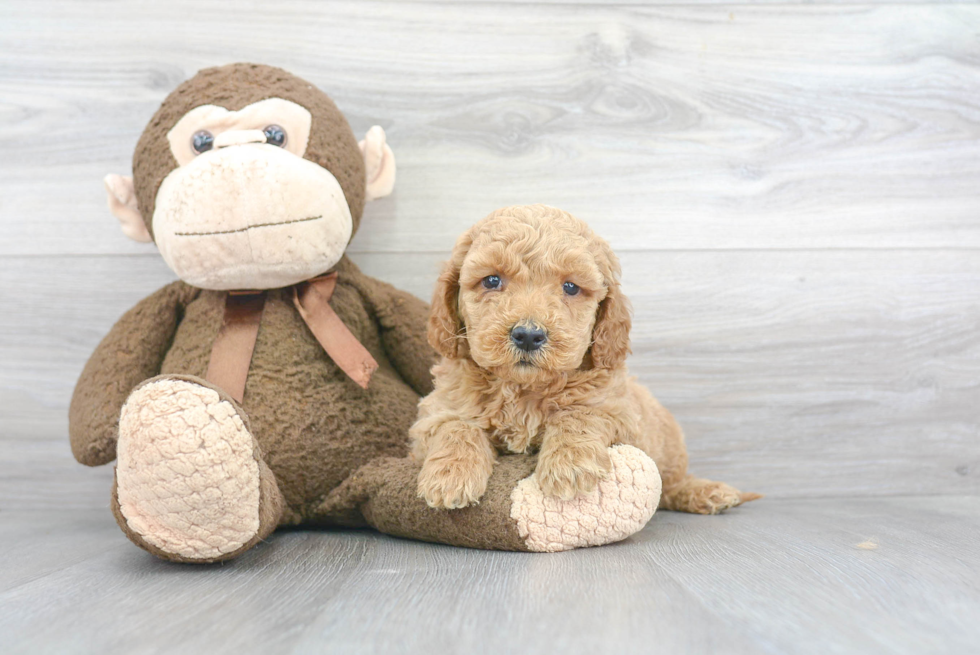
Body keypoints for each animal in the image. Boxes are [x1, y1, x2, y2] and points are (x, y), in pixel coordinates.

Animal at [410, 208, 760, 516]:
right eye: (492, 281)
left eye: (570, 287)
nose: (528, 335)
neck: (524, 390)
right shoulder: (434, 415)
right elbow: (456, 426)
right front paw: (450, 477)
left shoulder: (618, 412)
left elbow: (579, 414)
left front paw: (569, 466)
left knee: (671, 485)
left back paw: (708, 492)